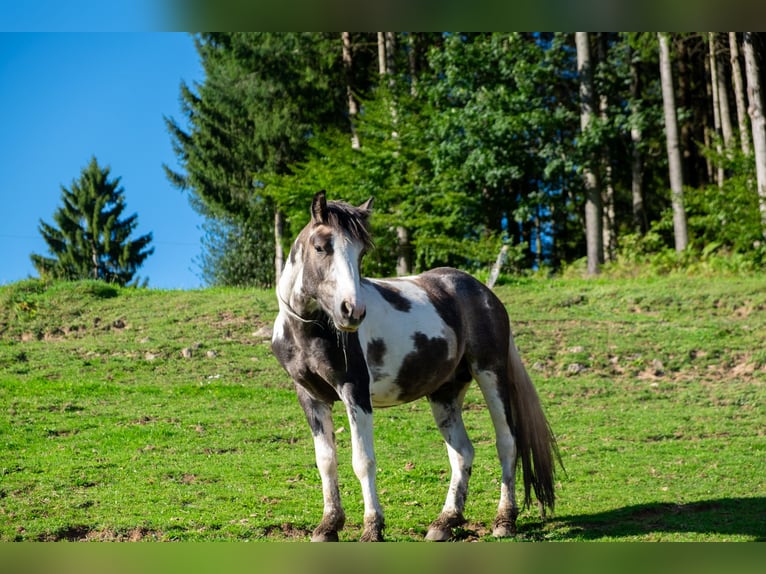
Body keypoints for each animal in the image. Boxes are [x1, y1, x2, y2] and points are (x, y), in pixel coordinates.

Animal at [271, 190, 559, 542]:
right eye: (320, 247)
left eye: (360, 251)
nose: (352, 310)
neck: (311, 330)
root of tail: (484, 293)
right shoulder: (311, 397)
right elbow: (326, 461)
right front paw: (328, 525)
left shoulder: (355, 392)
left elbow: (363, 461)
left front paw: (373, 528)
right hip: (445, 392)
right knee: (463, 452)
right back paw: (445, 522)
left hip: (490, 374)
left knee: (507, 442)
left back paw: (504, 520)